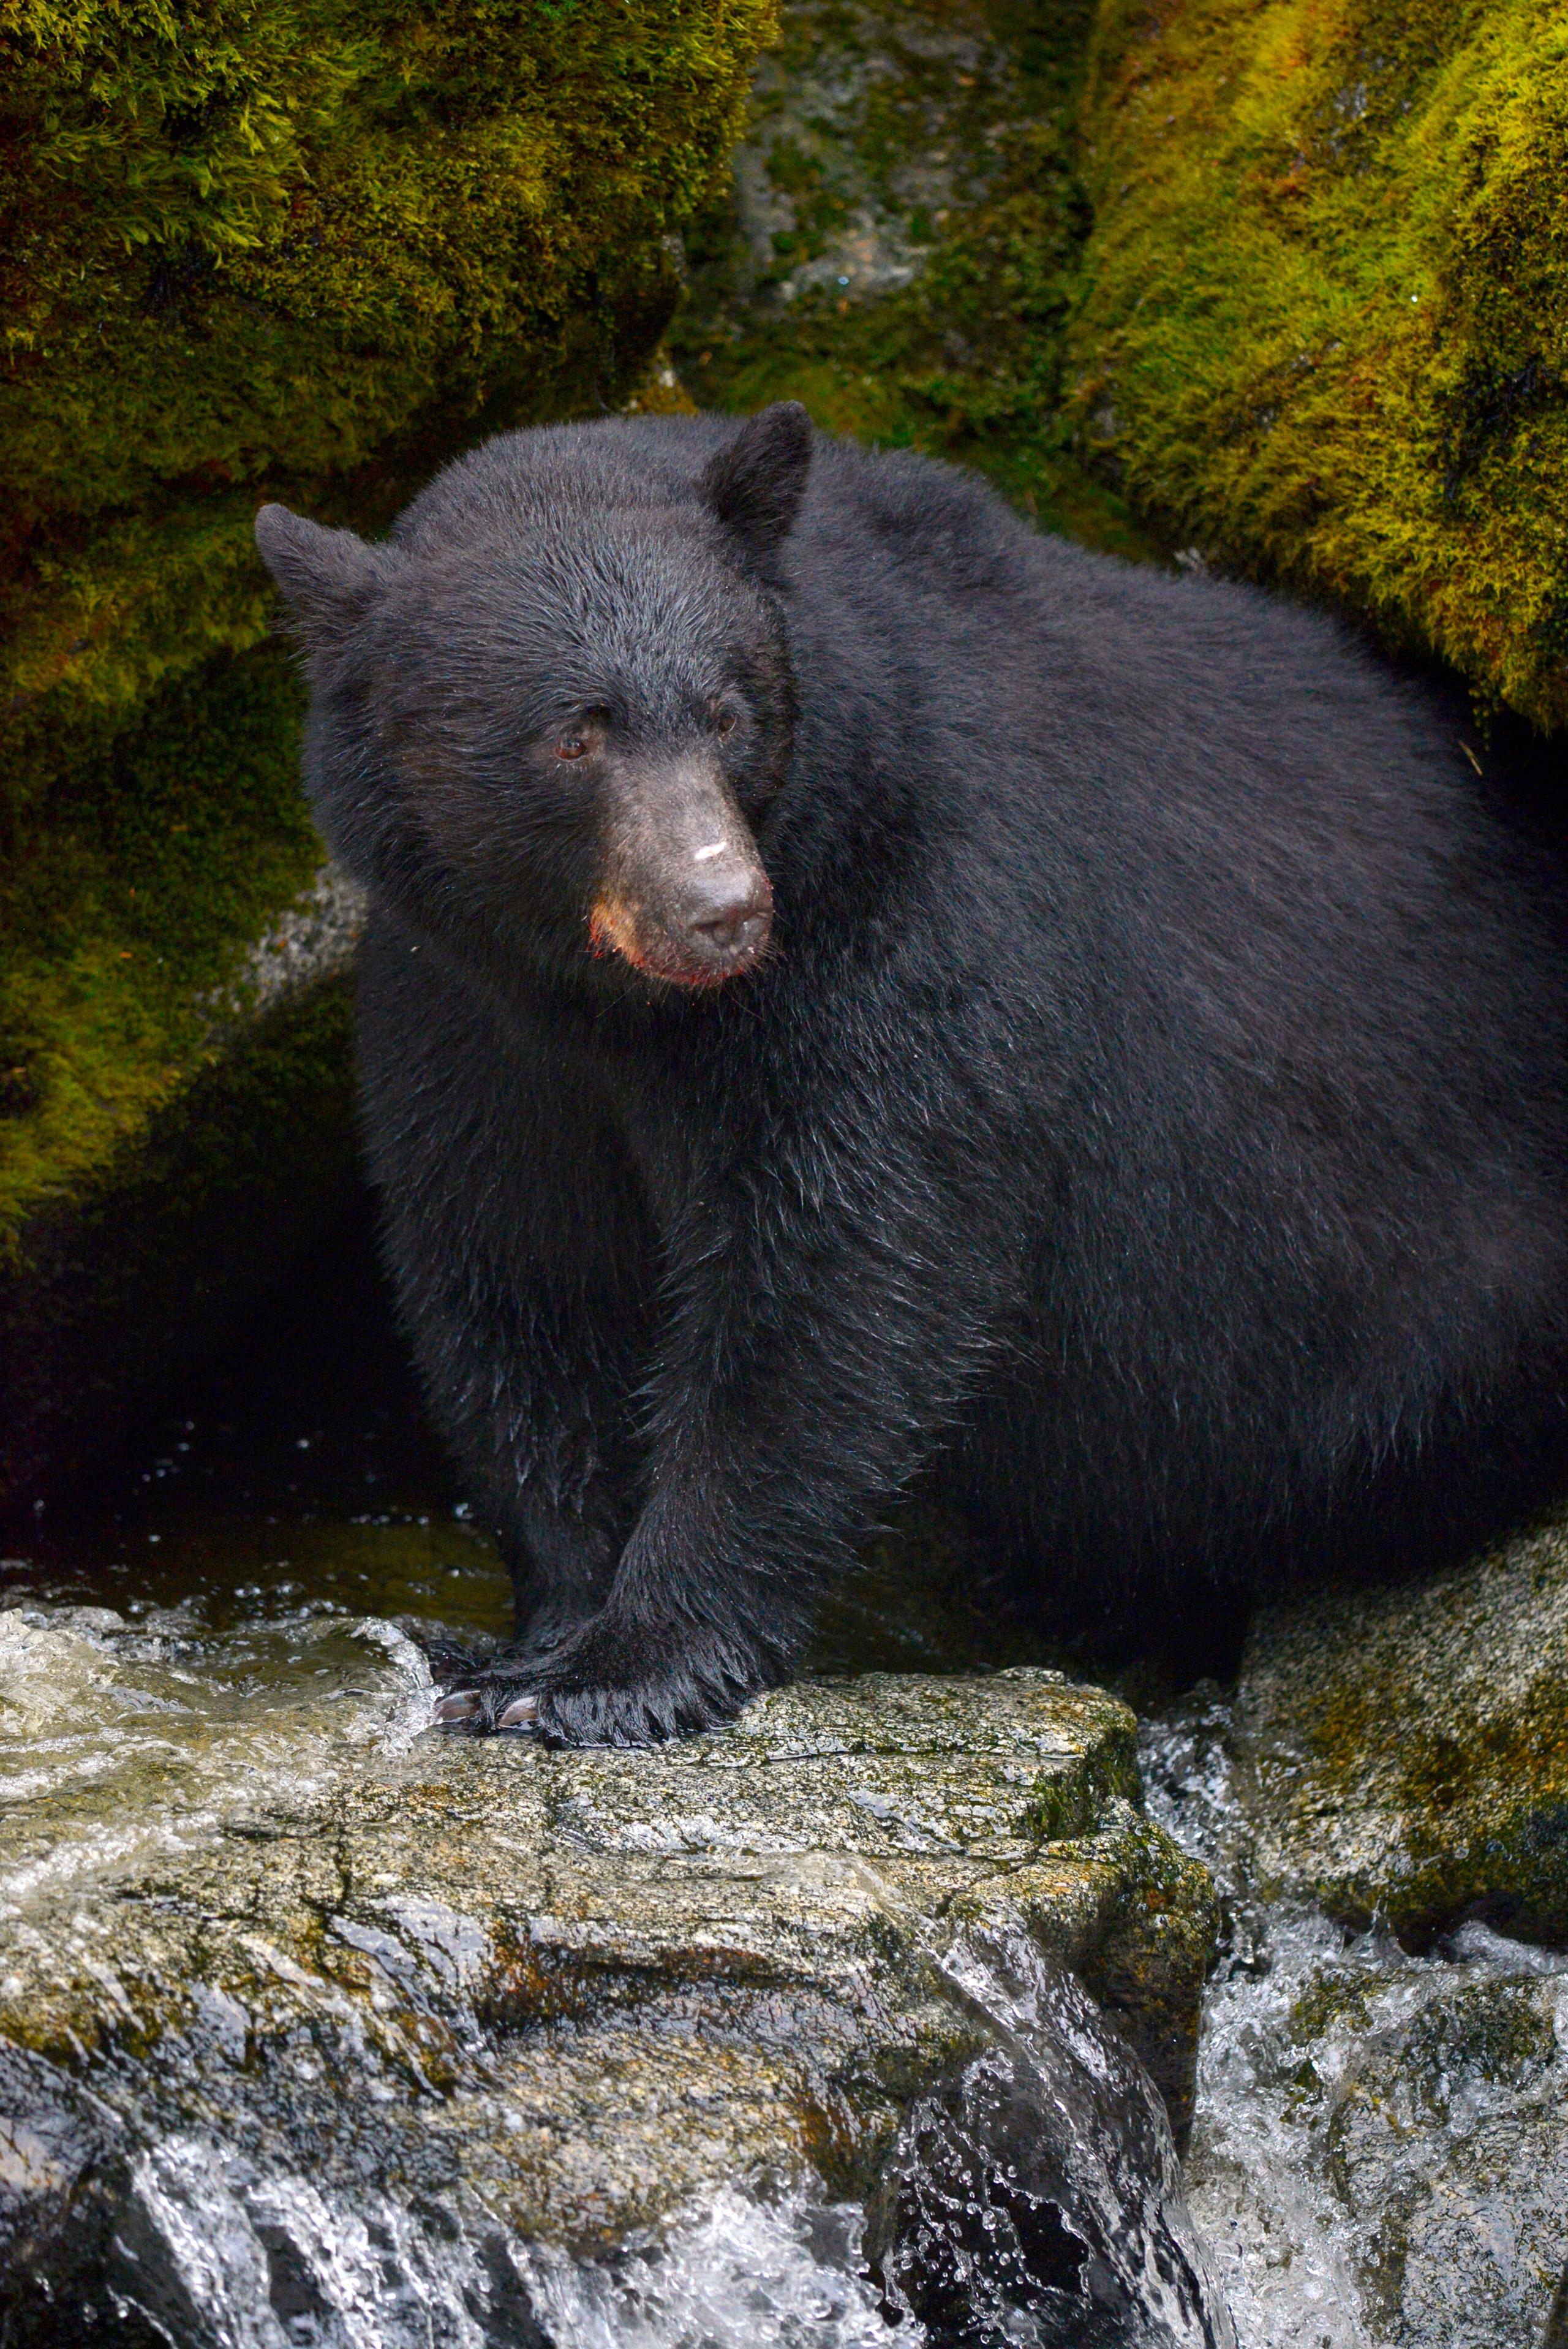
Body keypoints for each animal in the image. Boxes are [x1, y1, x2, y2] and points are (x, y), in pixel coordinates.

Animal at [254, 409, 1568, 1747]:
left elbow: (843, 1268)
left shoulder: (903, 917)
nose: (721, 910)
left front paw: (619, 1664)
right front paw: (534, 1635)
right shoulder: (469, 1010)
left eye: (724, 713)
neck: (621, 1008)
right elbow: (522, 1264)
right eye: (575, 731)